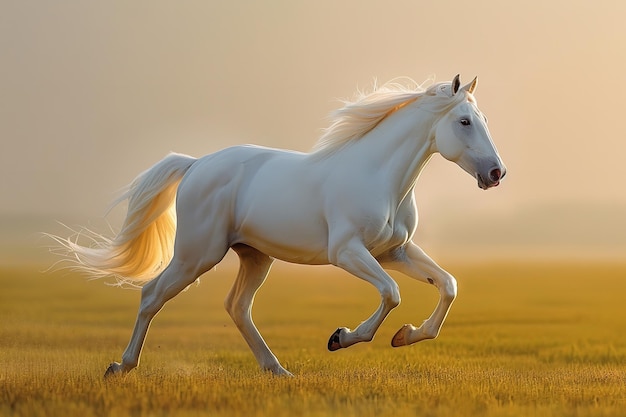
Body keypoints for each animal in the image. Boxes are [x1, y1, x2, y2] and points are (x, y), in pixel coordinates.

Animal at [51, 75, 504, 376]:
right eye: (464, 121)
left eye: (482, 117)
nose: (497, 173)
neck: (380, 178)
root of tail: (196, 164)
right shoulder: (347, 252)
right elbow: (391, 293)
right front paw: (341, 338)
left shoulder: (394, 252)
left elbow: (447, 285)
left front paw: (406, 335)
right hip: (197, 254)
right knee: (151, 295)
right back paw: (121, 366)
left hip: (255, 257)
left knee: (237, 306)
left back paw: (277, 370)